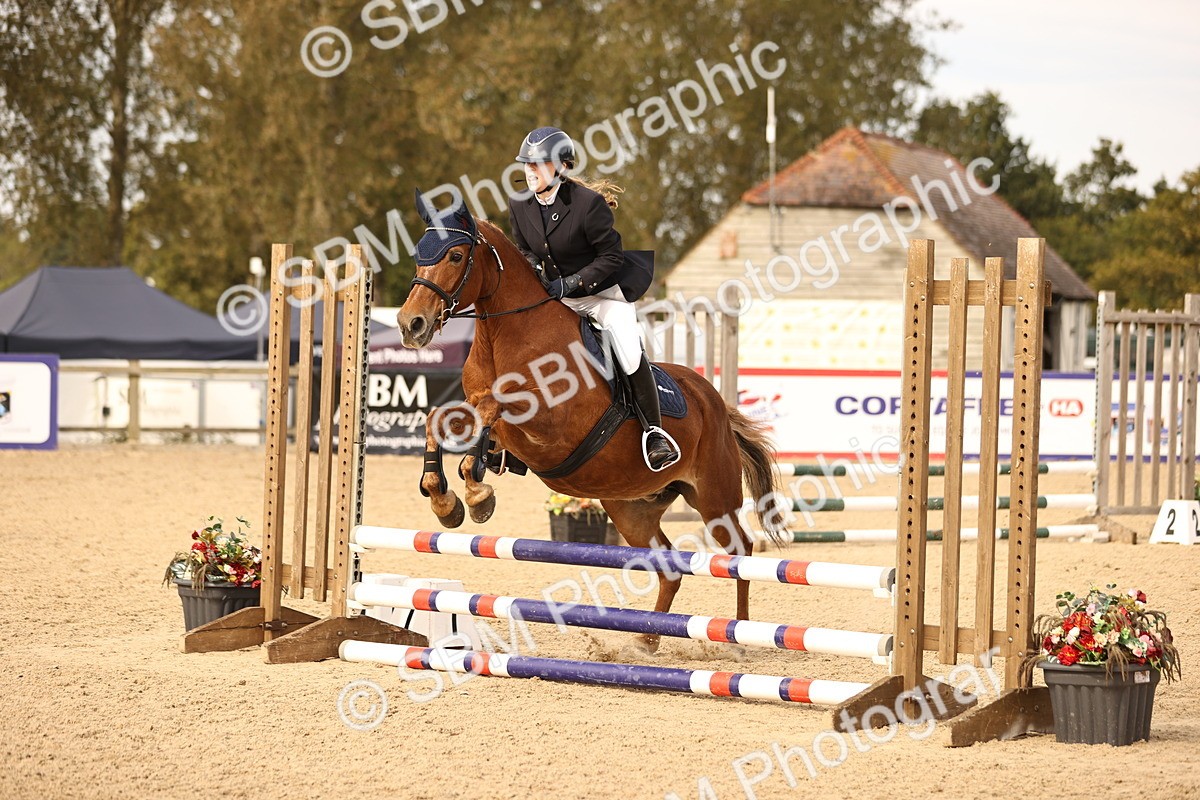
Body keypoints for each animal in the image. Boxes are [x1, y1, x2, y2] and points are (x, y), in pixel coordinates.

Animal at [395, 193, 785, 647]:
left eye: (456, 255)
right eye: (419, 255)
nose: (410, 324)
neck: (507, 337)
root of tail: (716, 403)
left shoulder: (550, 426)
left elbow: (494, 411)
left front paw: (476, 491)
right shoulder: (476, 407)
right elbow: (438, 418)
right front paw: (445, 499)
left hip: (713, 496)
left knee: (741, 551)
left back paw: (739, 637)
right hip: (631, 508)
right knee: (670, 563)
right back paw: (647, 640)